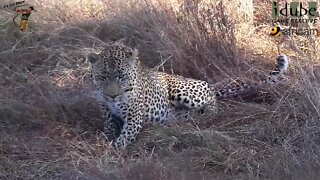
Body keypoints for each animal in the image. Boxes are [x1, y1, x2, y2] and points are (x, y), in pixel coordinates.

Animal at [88, 41, 290, 149]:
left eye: (121, 76)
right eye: (103, 77)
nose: (112, 95)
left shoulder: (134, 116)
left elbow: (127, 133)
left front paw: (114, 147)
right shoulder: (104, 107)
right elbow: (109, 125)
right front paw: (106, 138)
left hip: (185, 91)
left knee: (212, 99)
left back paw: (208, 114)